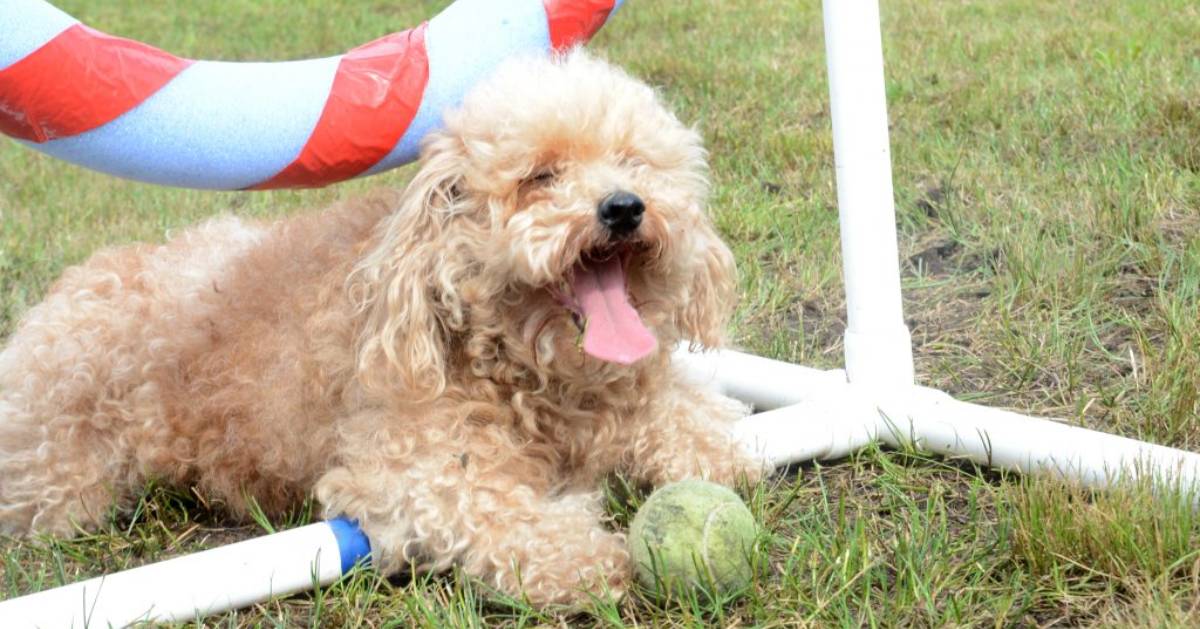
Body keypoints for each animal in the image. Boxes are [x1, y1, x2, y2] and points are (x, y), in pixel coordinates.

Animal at [2, 54, 758, 604]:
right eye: (540, 176)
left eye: (633, 162)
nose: (624, 207)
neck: (527, 372)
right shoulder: (411, 470)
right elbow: (490, 506)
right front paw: (583, 557)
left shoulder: (625, 396)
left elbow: (688, 417)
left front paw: (723, 454)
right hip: (66, 480)